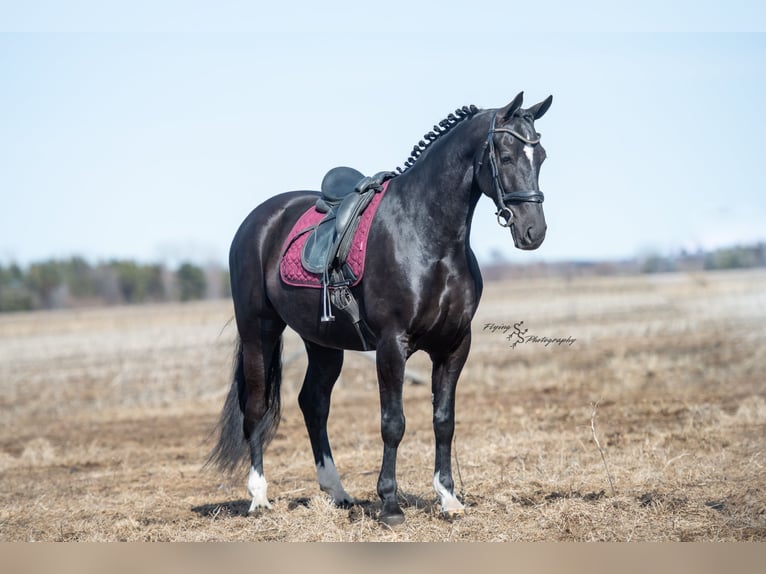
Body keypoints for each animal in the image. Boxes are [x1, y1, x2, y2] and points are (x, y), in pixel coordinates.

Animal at [208, 91, 553, 526]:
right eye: (506, 156)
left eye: (541, 156)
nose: (533, 232)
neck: (428, 236)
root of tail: (257, 220)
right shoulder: (392, 345)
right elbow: (393, 423)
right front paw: (389, 504)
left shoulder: (455, 345)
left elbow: (444, 421)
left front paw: (448, 498)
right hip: (259, 331)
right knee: (255, 406)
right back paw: (258, 497)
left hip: (323, 343)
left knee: (313, 404)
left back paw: (337, 492)